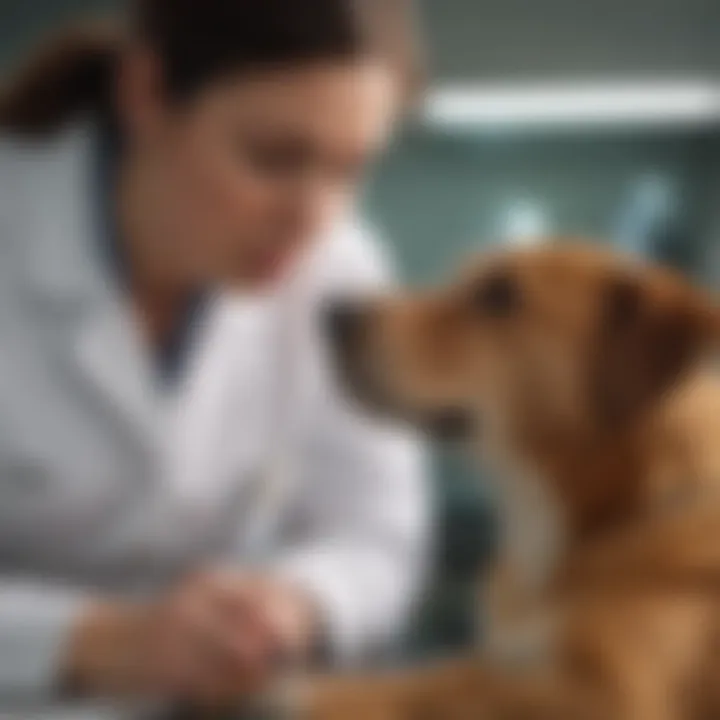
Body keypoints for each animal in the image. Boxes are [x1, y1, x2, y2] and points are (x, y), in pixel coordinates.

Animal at [296, 242, 720, 720]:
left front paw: (308, 691)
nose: (333, 314)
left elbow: (465, 687)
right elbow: (455, 673)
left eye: (500, 296)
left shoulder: (617, 697)